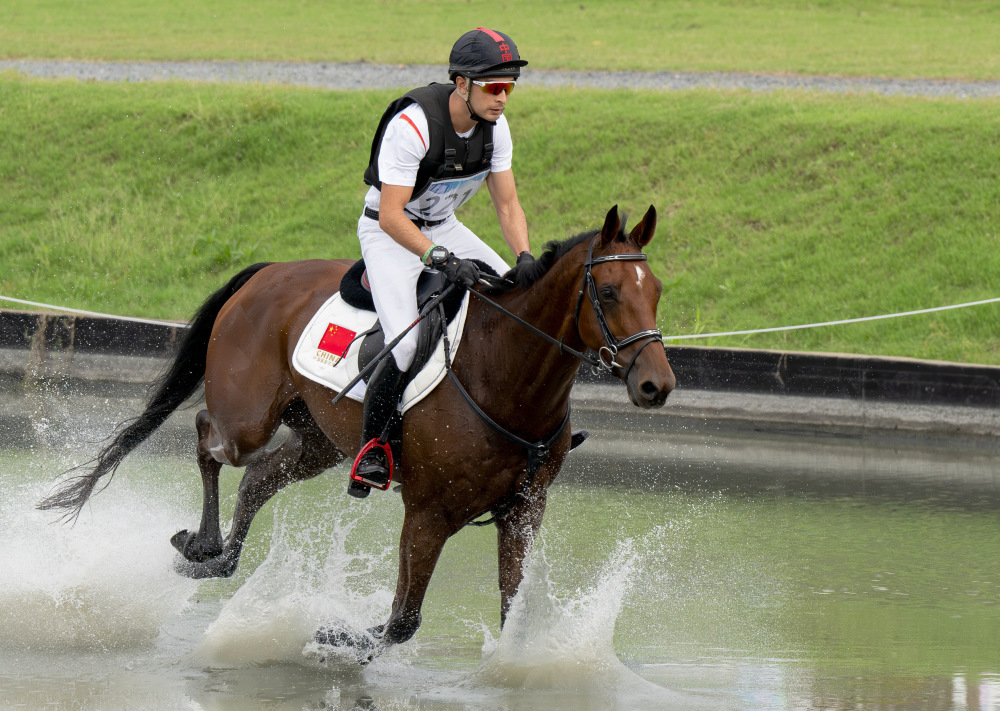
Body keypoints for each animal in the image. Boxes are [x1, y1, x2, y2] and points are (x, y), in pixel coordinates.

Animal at [41, 203, 680, 664]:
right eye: (608, 292)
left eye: (656, 291)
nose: (657, 385)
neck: (505, 371)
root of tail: (268, 272)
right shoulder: (428, 514)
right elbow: (401, 622)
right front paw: (336, 636)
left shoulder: (524, 510)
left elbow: (511, 612)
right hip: (248, 418)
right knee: (210, 439)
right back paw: (202, 545)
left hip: (321, 441)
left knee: (260, 477)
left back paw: (219, 558)